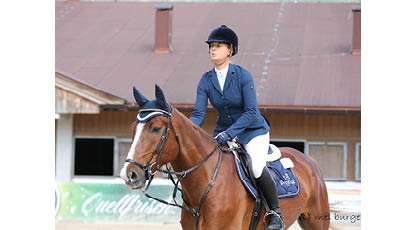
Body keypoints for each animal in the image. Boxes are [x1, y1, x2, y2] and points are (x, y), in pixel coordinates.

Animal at [118, 85, 330, 229]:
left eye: (155, 128)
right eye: (133, 129)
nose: (129, 174)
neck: (207, 183)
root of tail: (310, 161)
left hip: (316, 221)